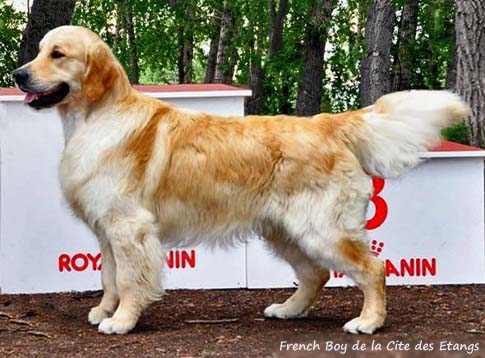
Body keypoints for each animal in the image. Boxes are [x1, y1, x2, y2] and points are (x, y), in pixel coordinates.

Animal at [13, 25, 468, 336]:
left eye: (58, 54)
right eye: (38, 52)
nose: (18, 75)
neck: (95, 118)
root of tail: (326, 122)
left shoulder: (129, 226)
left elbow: (128, 279)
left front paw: (122, 321)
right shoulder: (107, 228)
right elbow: (108, 276)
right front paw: (105, 310)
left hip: (321, 228)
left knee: (373, 269)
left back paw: (368, 321)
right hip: (286, 230)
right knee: (315, 275)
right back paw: (288, 310)